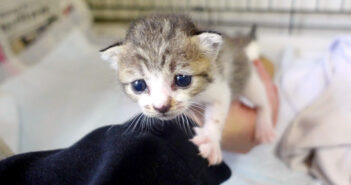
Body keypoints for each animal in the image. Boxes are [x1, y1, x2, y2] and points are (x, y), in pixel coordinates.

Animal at [100, 14, 276, 165]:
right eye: (138, 85)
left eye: (182, 80)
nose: (161, 107)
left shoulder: (219, 85)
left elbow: (217, 115)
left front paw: (210, 140)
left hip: (248, 79)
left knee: (262, 99)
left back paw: (265, 126)